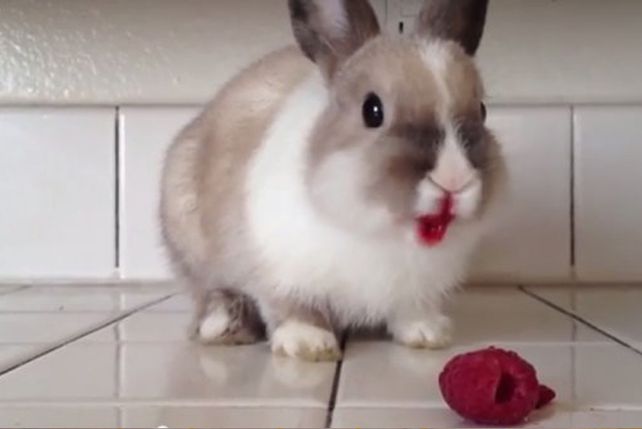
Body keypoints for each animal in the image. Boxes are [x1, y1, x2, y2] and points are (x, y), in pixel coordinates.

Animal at [160, 0, 505, 361]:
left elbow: (412, 311)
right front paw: (308, 343)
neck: (378, 231)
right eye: (372, 110)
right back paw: (223, 326)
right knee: (210, 292)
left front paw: (427, 334)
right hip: (191, 247)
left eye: (482, 110)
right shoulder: (279, 271)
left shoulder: (418, 290)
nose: (454, 179)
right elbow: (293, 308)